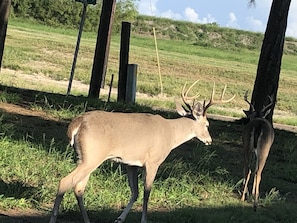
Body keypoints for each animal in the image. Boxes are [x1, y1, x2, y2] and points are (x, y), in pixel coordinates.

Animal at [48, 80, 234, 223]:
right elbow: (146, 192)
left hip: (85, 157)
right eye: (207, 125)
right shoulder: (153, 161)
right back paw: (53, 218)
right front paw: (144, 219)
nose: (209, 140)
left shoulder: (130, 163)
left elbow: (135, 192)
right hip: (92, 156)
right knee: (65, 182)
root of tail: (77, 122)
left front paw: (119, 218)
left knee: (78, 188)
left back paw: (86, 220)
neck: (171, 134)